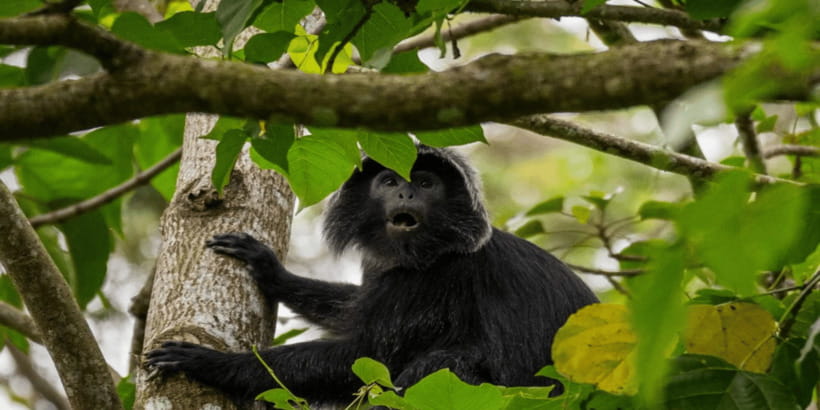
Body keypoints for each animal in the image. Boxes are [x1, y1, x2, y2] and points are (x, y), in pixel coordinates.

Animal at [146, 145, 598, 405]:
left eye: (425, 183)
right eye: (389, 180)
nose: (406, 192)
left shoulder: (435, 277)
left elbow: (367, 355)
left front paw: (211, 363)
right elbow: (353, 315)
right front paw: (271, 271)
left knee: (445, 363)